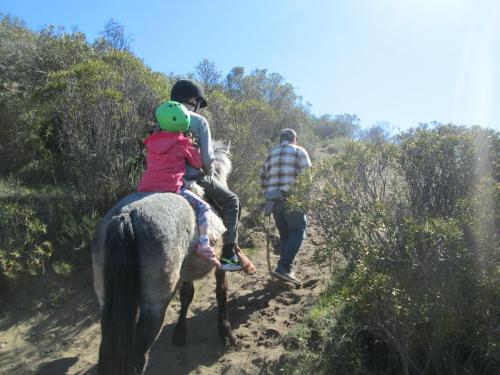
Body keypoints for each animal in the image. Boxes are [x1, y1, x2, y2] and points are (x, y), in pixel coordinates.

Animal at [94, 142, 242, 375]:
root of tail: (126, 216)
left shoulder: (186, 271)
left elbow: (187, 295)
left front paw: (180, 334)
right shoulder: (220, 266)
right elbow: (221, 292)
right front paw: (225, 332)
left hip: (107, 302)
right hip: (154, 306)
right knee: (137, 356)